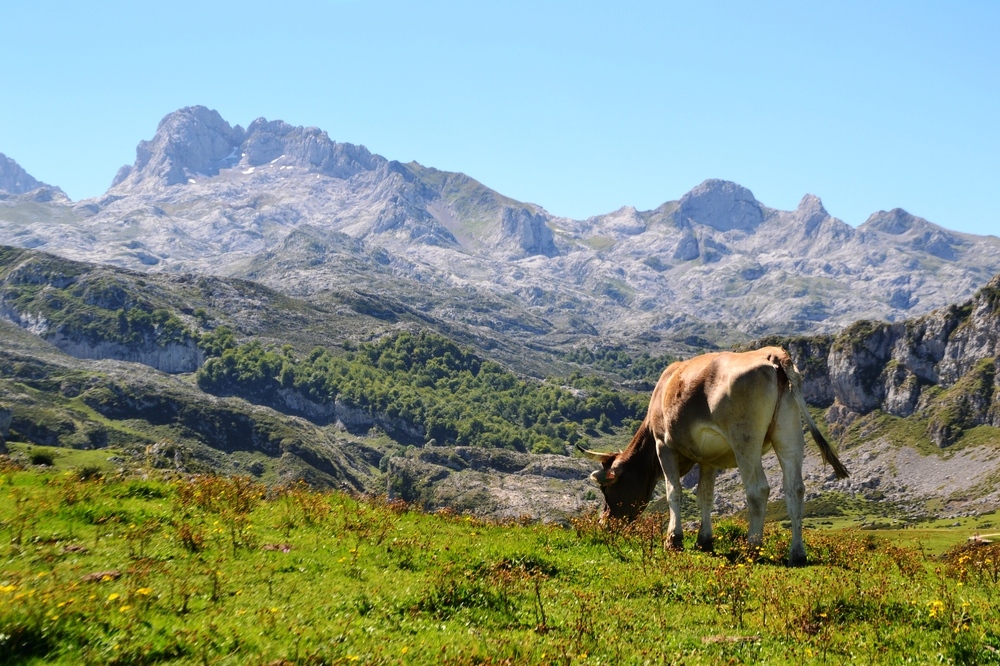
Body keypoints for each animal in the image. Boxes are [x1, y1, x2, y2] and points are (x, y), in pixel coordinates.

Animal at [584, 342, 848, 564]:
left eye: (606, 488)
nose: (604, 523)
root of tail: (772, 353)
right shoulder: (708, 459)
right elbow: (705, 496)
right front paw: (704, 540)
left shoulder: (664, 446)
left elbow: (673, 492)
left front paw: (673, 540)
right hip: (789, 435)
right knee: (795, 489)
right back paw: (797, 553)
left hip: (745, 441)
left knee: (758, 490)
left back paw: (751, 548)